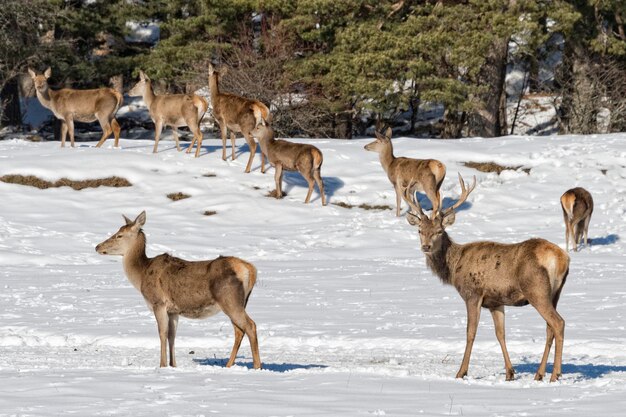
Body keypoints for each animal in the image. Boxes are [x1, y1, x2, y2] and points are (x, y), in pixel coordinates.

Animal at [94, 211, 260, 368]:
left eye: (119, 235)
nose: (97, 247)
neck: (141, 275)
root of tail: (250, 270)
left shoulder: (158, 303)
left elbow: (162, 333)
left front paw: (162, 365)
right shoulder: (173, 311)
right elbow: (172, 336)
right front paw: (173, 364)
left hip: (229, 299)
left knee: (250, 326)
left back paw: (257, 366)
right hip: (239, 302)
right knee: (239, 330)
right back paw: (229, 365)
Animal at [402, 174, 568, 382]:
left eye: (439, 231)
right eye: (420, 231)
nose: (426, 246)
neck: (454, 267)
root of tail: (561, 259)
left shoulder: (472, 293)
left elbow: (470, 332)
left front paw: (461, 372)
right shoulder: (496, 301)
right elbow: (500, 334)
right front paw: (509, 373)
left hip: (536, 290)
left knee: (558, 323)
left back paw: (555, 374)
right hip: (555, 293)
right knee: (549, 328)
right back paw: (539, 374)